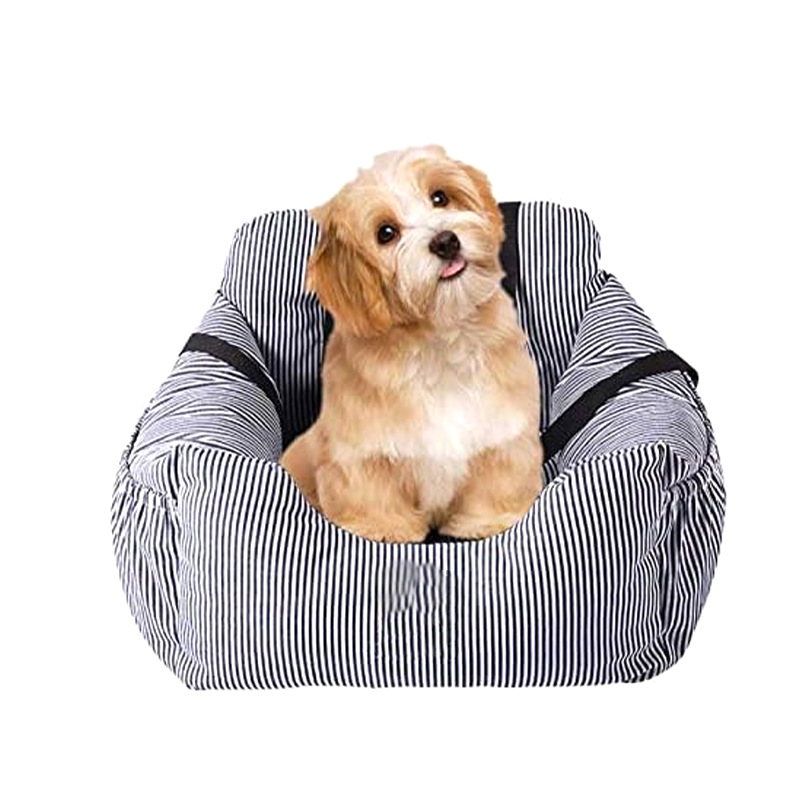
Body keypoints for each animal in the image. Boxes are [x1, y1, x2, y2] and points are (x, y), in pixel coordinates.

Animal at [280, 145, 543, 542]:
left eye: (440, 198)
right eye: (386, 233)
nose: (446, 241)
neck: (439, 339)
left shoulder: (503, 434)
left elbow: (496, 480)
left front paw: (486, 523)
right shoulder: (361, 454)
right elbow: (371, 492)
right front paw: (384, 531)